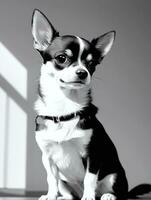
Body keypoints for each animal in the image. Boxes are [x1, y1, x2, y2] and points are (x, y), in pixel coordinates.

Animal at [31, 8, 129, 199]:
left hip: (114, 176)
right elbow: (51, 179)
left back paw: (106, 196)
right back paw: (62, 197)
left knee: (119, 192)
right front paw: (51, 196)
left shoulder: (93, 155)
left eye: (91, 64)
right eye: (62, 58)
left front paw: (89, 197)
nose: (83, 72)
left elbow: (89, 179)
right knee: (67, 191)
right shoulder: (47, 157)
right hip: (65, 182)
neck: (64, 108)